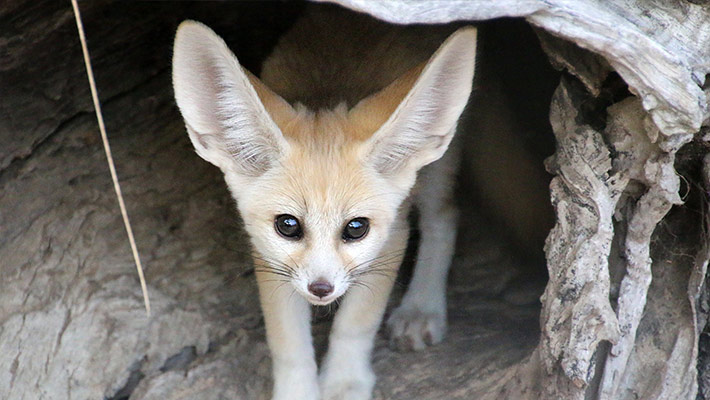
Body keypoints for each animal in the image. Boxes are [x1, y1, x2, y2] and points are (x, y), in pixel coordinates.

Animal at [172, 6, 476, 400]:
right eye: (288, 225)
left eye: (356, 228)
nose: (321, 289)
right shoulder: (270, 257)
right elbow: (288, 344)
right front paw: (297, 391)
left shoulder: (391, 237)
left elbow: (355, 324)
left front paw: (344, 382)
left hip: (436, 169)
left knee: (444, 217)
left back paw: (422, 307)